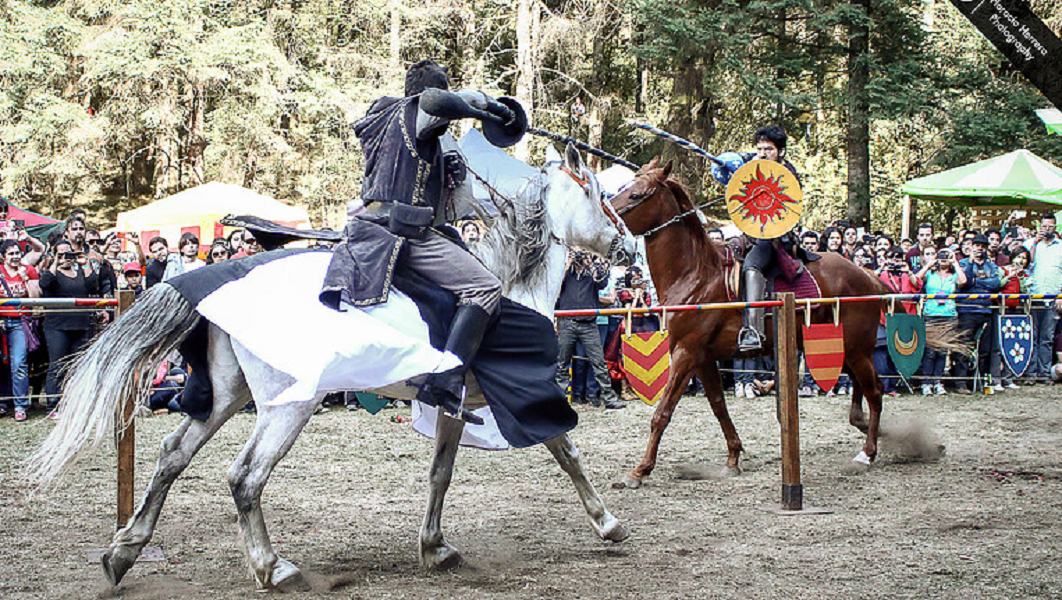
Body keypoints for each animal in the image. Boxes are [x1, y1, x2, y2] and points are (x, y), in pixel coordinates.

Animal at [29, 143, 632, 590]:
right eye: (603, 196)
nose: (627, 246)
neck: (509, 284)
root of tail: (214, 277)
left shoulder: (454, 407)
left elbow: (440, 473)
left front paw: (435, 548)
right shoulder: (526, 393)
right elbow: (567, 451)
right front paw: (609, 524)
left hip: (228, 393)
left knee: (173, 454)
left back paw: (124, 552)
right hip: (289, 404)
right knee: (245, 475)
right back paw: (274, 568)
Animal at [611, 158, 892, 486]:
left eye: (636, 194)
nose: (609, 218)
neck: (694, 273)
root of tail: (868, 276)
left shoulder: (686, 352)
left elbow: (662, 412)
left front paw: (640, 470)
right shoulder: (702, 357)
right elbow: (718, 406)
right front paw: (733, 457)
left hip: (856, 349)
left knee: (875, 392)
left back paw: (867, 453)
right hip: (847, 348)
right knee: (863, 388)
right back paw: (865, 428)